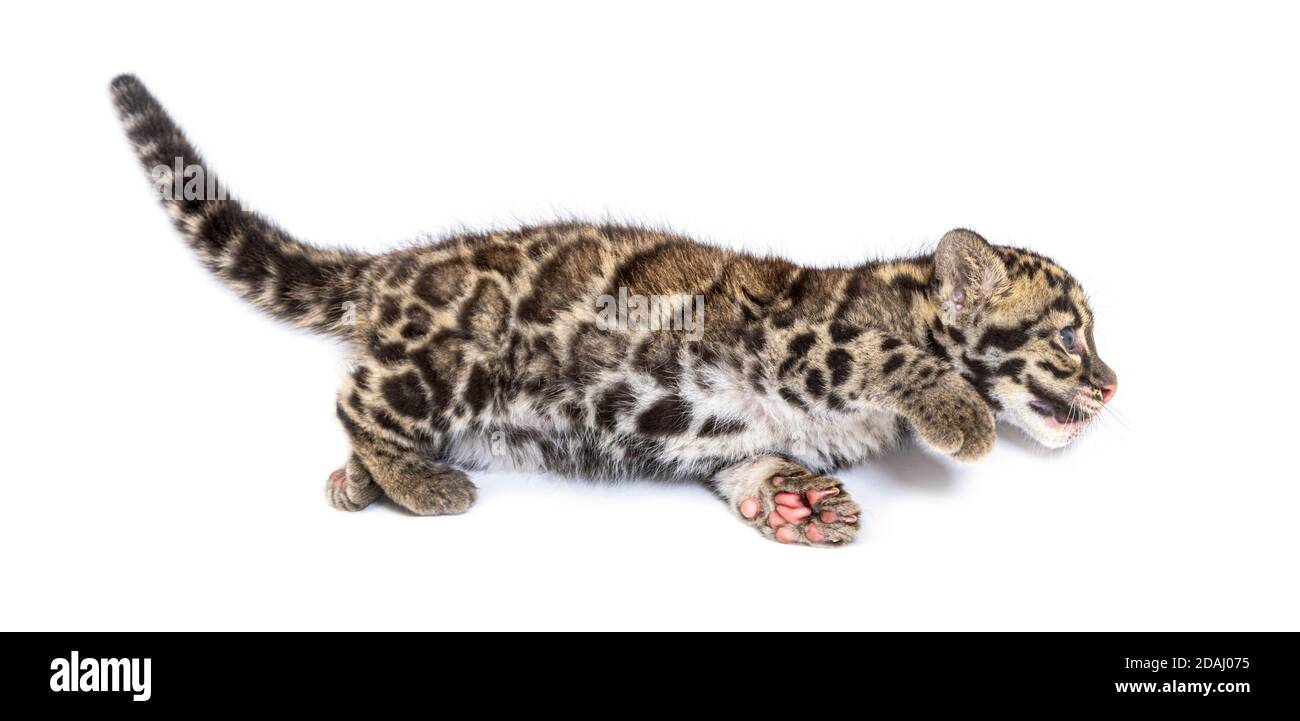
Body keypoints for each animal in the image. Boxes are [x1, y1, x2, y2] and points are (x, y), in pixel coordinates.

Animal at [110, 75, 1118, 546]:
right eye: (1070, 337)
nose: (1112, 384)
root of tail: (394, 267)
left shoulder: (738, 431)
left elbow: (747, 461)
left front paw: (791, 499)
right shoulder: (797, 337)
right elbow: (894, 358)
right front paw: (960, 411)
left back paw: (359, 481)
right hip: (448, 361)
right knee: (356, 400)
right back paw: (417, 481)